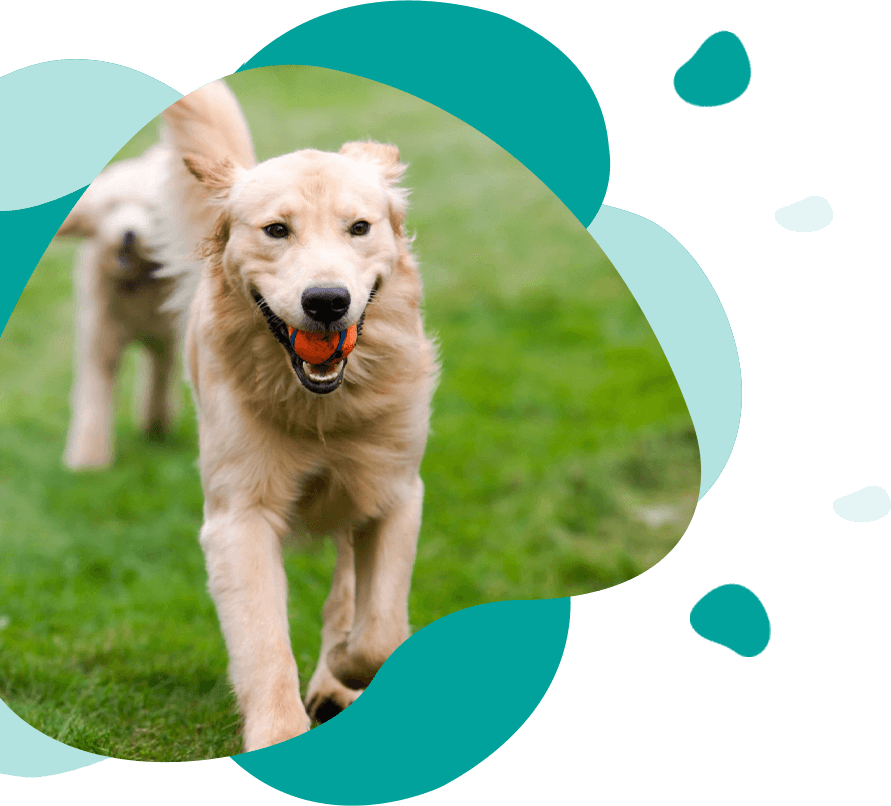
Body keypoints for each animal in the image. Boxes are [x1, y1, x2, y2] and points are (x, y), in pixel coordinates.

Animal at [58, 144, 179, 468]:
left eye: (149, 209)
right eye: (112, 206)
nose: (128, 234)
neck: (135, 283)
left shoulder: (165, 338)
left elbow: (159, 379)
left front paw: (155, 426)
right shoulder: (99, 338)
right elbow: (94, 393)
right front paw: (88, 460)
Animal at [159, 79, 440, 756]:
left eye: (359, 227)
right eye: (276, 230)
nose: (327, 301)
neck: (323, 408)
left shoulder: (395, 491)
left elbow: (379, 632)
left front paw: (342, 666)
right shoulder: (239, 517)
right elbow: (263, 643)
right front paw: (279, 732)